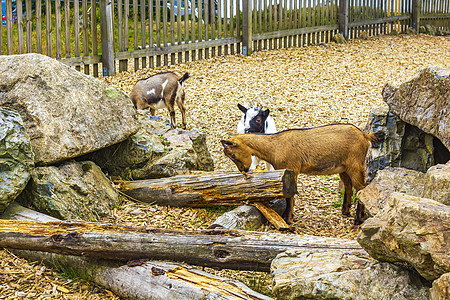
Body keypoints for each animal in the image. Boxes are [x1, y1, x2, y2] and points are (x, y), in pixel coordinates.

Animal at [220, 123, 384, 225]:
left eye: (233, 155)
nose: (244, 170)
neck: (275, 147)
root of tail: (365, 135)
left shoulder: (292, 169)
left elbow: (290, 196)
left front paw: (288, 219)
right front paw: (290, 216)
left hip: (354, 165)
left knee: (361, 188)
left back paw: (357, 220)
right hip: (343, 168)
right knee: (349, 186)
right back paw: (345, 212)